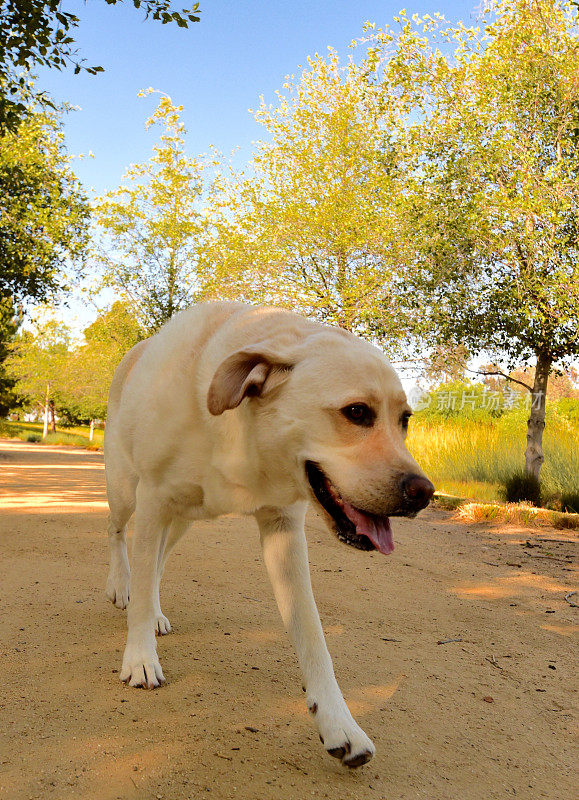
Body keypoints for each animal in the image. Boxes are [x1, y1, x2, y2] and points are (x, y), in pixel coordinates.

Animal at [105, 302, 436, 768]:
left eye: (404, 420)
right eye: (357, 412)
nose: (423, 493)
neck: (238, 434)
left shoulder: (283, 530)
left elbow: (314, 638)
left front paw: (339, 723)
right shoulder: (153, 497)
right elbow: (139, 573)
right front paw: (139, 658)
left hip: (182, 517)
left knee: (157, 560)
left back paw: (152, 607)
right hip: (126, 491)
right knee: (118, 534)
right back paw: (123, 587)